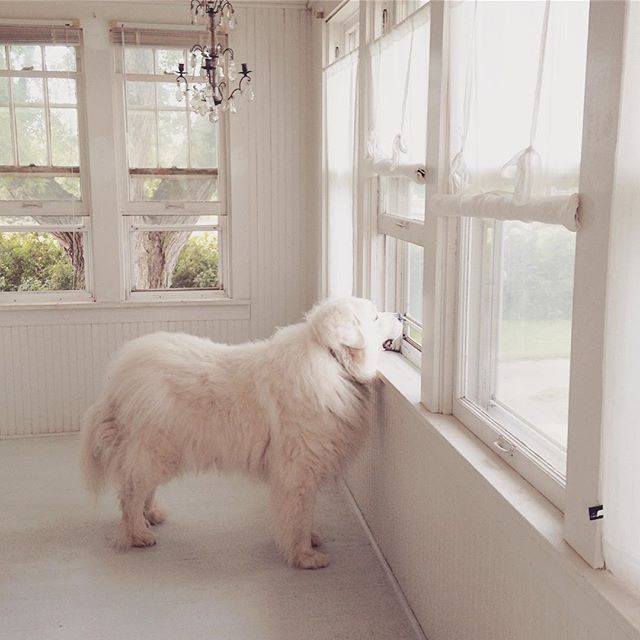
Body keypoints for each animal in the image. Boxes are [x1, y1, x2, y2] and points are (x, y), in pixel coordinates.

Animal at [80, 298, 400, 568]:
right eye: (374, 315)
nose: (399, 315)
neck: (331, 358)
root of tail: (118, 376)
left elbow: (306, 513)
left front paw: (311, 538)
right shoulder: (298, 470)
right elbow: (298, 514)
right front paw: (304, 555)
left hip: (160, 451)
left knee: (142, 487)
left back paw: (150, 516)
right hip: (154, 447)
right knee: (131, 493)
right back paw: (137, 534)